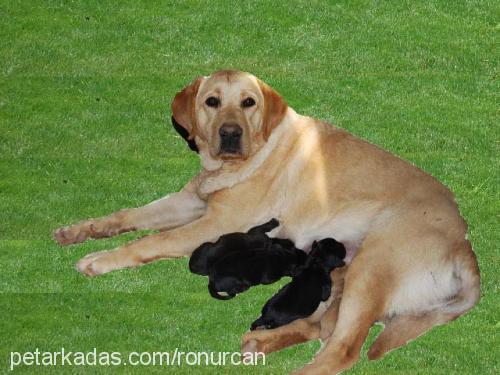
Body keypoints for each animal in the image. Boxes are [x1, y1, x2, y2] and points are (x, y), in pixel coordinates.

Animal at [52, 70, 478, 374]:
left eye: (248, 103)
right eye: (212, 102)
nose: (230, 133)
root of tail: (464, 243)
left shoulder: (214, 224)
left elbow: (148, 241)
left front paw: (100, 259)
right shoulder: (190, 201)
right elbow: (128, 216)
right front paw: (81, 230)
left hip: (373, 266)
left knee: (341, 350)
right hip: (346, 275)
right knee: (318, 327)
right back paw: (261, 343)